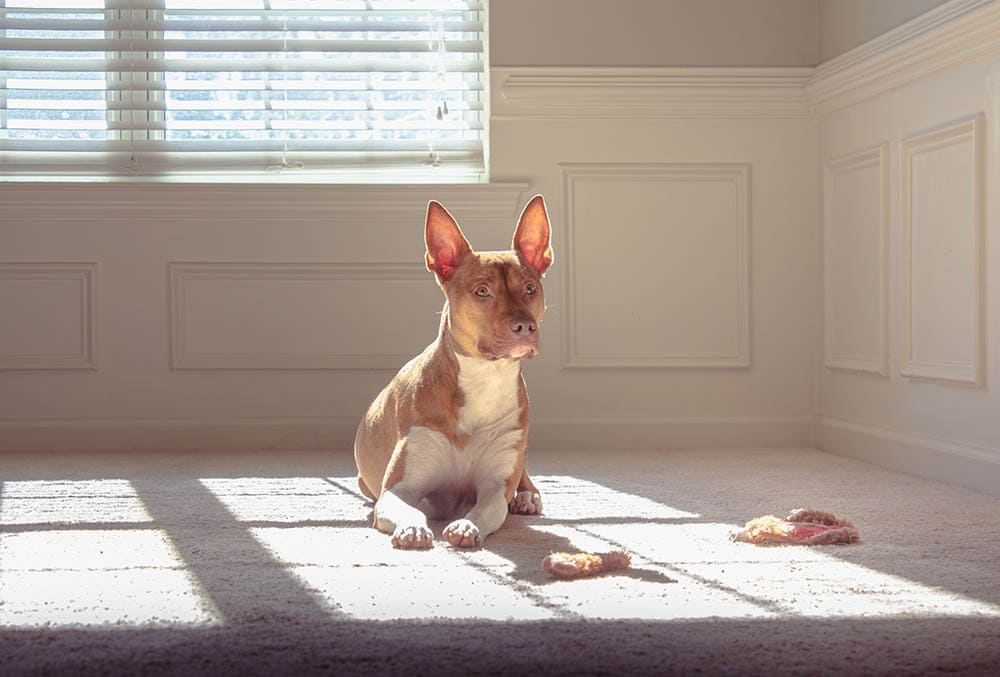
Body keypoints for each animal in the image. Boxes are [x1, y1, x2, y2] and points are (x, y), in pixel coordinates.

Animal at [354, 194, 556, 548]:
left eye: (530, 288)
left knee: (523, 473)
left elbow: (486, 508)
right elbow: (408, 506)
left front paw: (466, 525)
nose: (525, 326)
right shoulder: (399, 489)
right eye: (482, 292)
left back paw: (527, 495)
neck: (484, 380)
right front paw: (413, 527)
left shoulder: (493, 488)